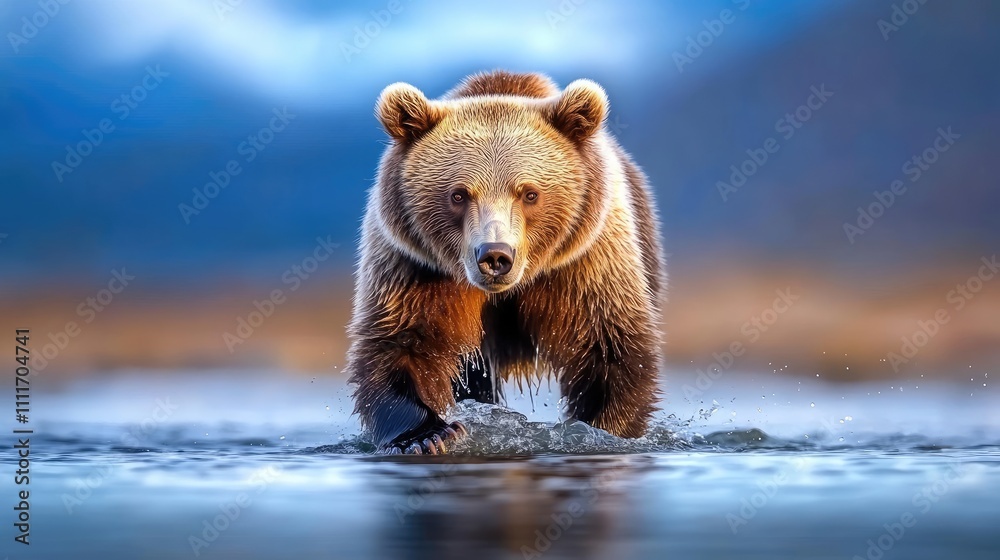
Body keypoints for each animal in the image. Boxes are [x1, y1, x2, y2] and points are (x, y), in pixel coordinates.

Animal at [347, 70, 664, 454]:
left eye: (530, 193)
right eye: (458, 194)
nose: (496, 255)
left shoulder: (585, 265)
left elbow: (609, 347)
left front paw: (598, 430)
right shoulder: (413, 266)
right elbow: (399, 342)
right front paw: (427, 435)